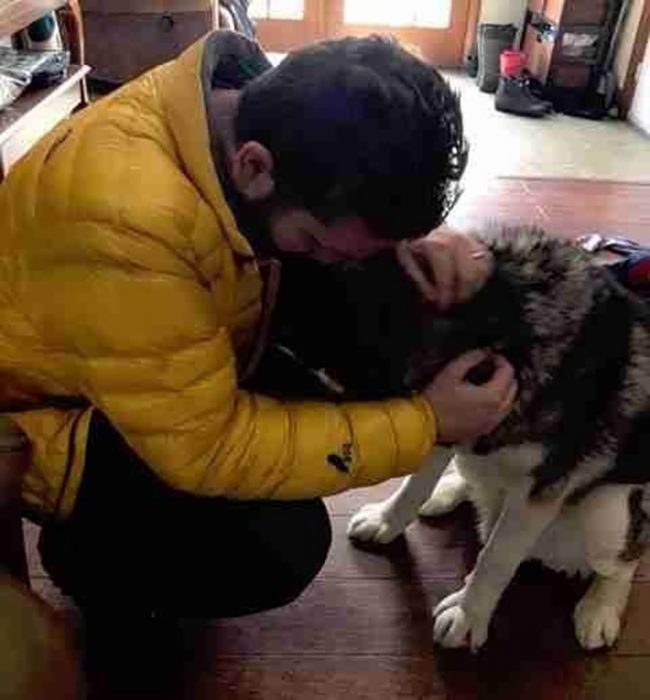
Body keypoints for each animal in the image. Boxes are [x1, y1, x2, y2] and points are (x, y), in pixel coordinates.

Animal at [248, 227, 648, 652]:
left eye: (287, 357)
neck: (491, 321)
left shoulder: (539, 489)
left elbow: (496, 557)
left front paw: (469, 613)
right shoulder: (447, 411)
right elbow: (413, 485)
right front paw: (388, 520)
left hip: (606, 512)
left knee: (627, 556)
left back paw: (600, 606)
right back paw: (449, 490)